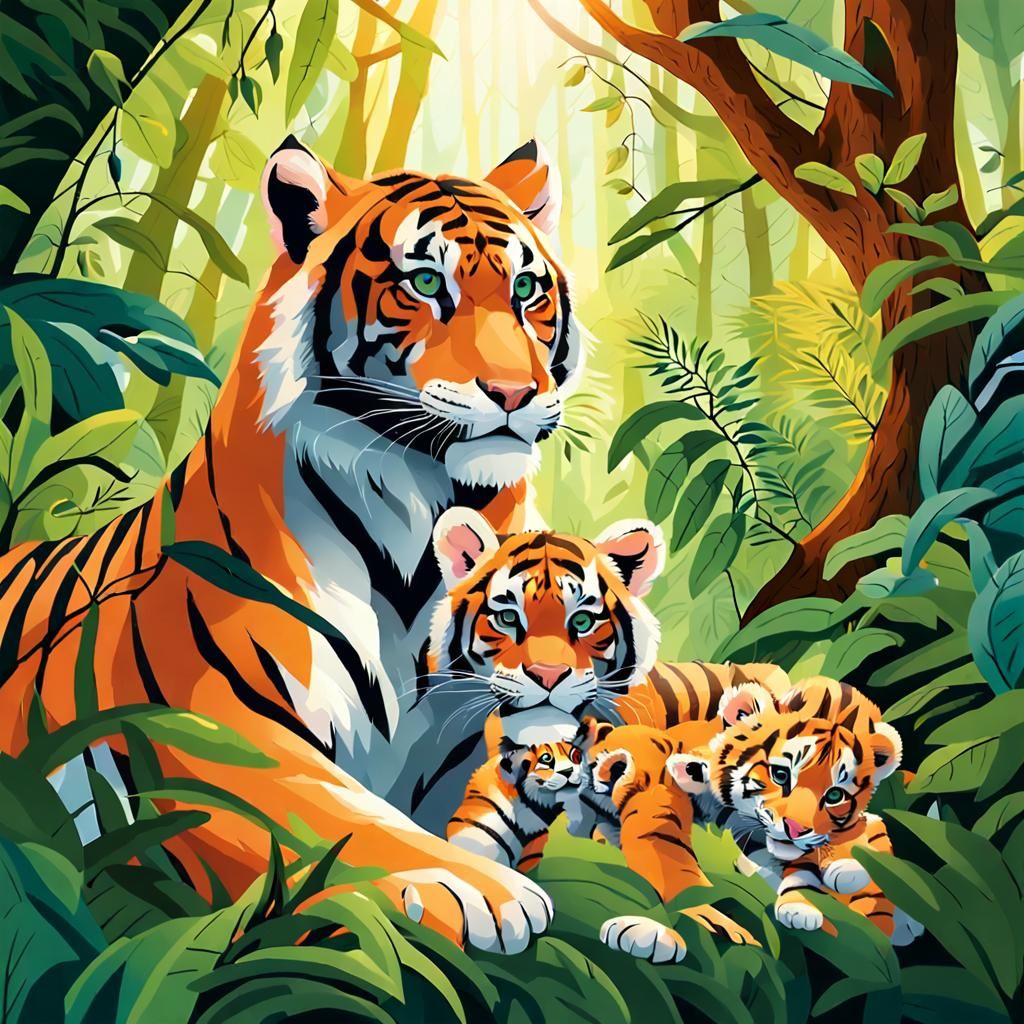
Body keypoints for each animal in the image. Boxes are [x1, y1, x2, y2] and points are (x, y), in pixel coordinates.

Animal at [0, 135, 586, 953]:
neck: (421, 518)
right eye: (425, 282)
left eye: (527, 290)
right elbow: (335, 818)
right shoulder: (211, 723)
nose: (515, 394)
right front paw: (471, 889)